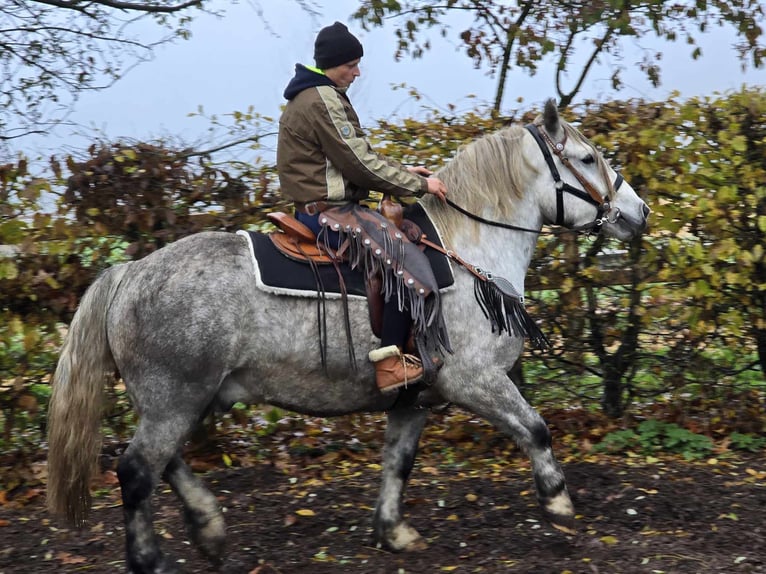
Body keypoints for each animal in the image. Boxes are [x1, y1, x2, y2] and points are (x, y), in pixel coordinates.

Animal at [46, 101, 648, 572]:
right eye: (587, 159)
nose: (638, 212)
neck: (467, 247)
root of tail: (130, 272)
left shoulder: (414, 398)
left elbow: (398, 462)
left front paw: (394, 531)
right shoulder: (474, 380)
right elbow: (536, 429)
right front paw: (558, 503)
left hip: (176, 402)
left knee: (164, 464)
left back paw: (210, 531)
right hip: (174, 400)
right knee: (136, 472)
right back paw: (152, 558)